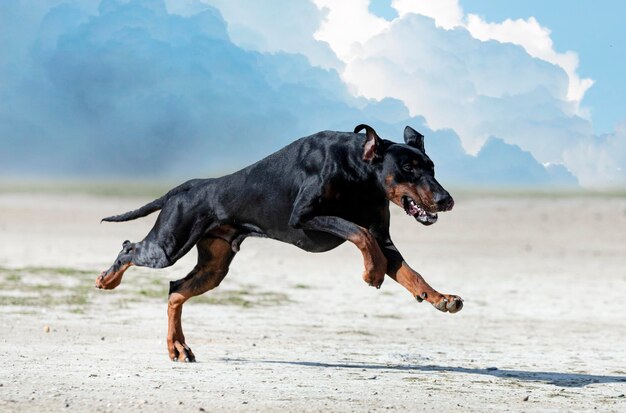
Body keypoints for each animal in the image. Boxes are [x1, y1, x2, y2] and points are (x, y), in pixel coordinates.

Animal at [96, 124, 458, 360]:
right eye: (408, 167)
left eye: (431, 167)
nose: (446, 200)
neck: (358, 170)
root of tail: (182, 188)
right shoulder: (306, 217)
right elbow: (359, 233)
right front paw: (372, 272)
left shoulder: (384, 238)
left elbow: (409, 271)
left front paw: (441, 298)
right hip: (168, 246)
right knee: (129, 248)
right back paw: (107, 280)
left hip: (213, 268)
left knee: (175, 290)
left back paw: (178, 347)